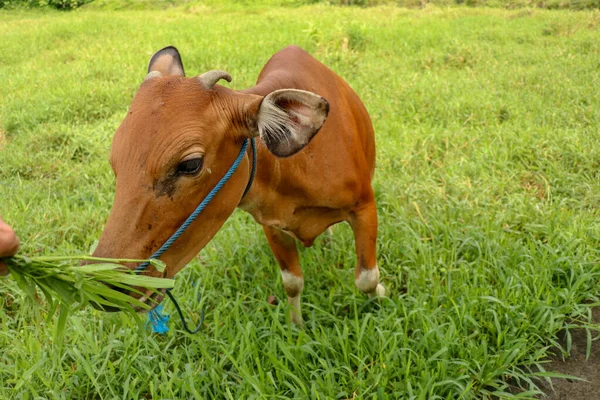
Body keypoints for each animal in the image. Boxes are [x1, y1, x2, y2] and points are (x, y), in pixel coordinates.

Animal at [94, 45, 384, 324]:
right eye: (115, 160)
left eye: (190, 164)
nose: (106, 285)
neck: (297, 165)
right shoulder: (272, 225)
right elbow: (292, 283)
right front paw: (297, 325)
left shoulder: (364, 206)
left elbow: (366, 278)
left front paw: (381, 297)